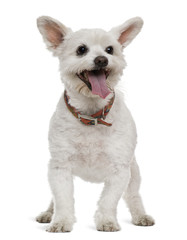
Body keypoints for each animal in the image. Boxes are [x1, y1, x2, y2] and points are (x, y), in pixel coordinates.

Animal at [35, 15, 154, 232]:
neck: (92, 115)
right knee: (53, 198)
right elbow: (62, 199)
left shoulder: (120, 170)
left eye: (110, 49)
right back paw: (48, 213)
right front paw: (61, 221)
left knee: (133, 196)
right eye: (81, 49)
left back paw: (140, 215)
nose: (101, 59)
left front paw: (107, 221)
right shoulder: (59, 167)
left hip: (134, 173)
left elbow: (108, 200)